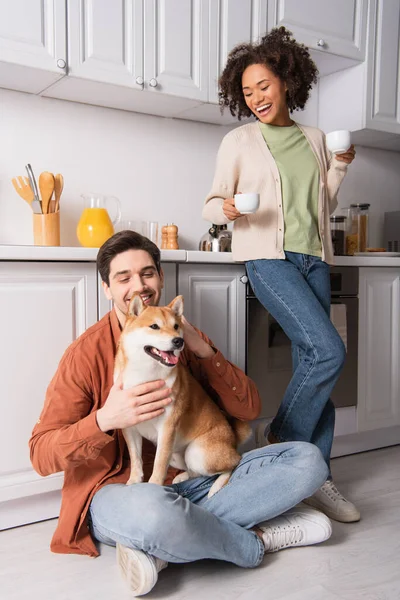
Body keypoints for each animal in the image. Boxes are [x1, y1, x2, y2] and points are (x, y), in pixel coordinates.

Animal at [115, 292, 250, 494]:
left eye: (176, 327)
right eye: (154, 326)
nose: (179, 341)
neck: (145, 374)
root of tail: (232, 439)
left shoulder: (167, 427)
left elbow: (159, 464)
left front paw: (153, 486)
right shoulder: (130, 426)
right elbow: (136, 460)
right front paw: (134, 481)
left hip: (198, 454)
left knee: (235, 463)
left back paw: (217, 486)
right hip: (179, 455)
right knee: (195, 472)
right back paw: (183, 476)